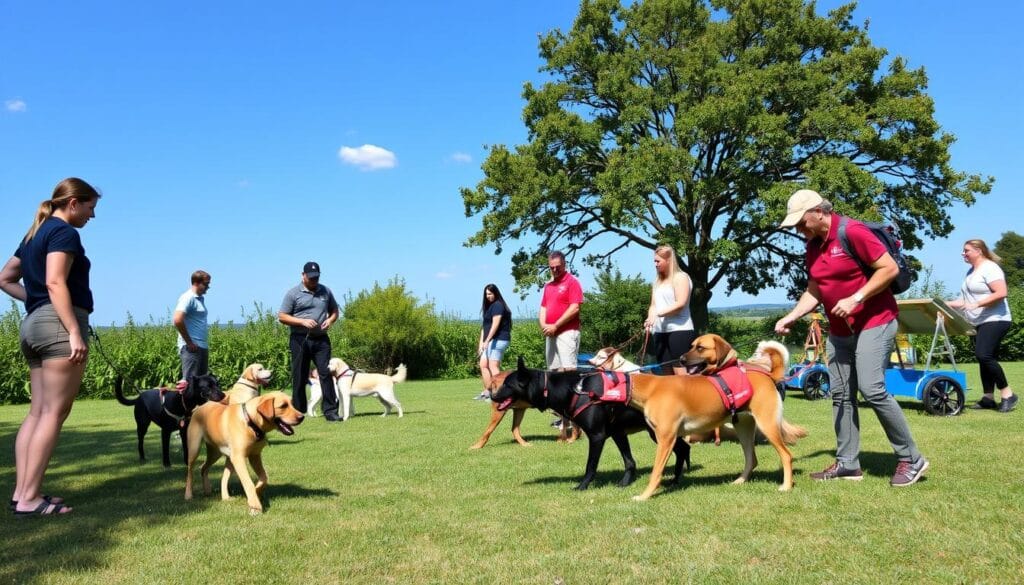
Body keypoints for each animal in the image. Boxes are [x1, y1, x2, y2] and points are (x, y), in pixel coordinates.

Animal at [491, 356, 692, 489]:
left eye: (507, 384)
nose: (492, 396)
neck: (576, 390)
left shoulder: (597, 436)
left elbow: (591, 466)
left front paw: (583, 486)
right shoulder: (618, 434)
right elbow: (629, 462)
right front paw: (625, 482)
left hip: (658, 433)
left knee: (682, 449)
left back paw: (676, 480)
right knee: (684, 448)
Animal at [618, 336, 802, 502]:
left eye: (700, 348)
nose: (681, 359)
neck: (650, 388)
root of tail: (767, 375)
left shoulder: (666, 439)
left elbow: (656, 472)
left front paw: (645, 496)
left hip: (767, 426)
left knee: (786, 455)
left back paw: (786, 486)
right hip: (743, 428)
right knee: (752, 459)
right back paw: (740, 481)